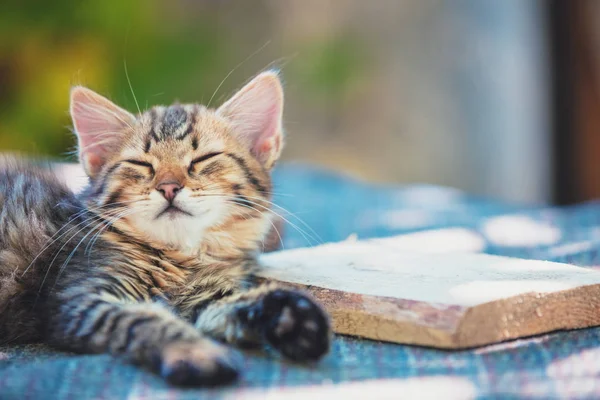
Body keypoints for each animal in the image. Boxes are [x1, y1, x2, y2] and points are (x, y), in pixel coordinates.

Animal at [0, 72, 330, 388]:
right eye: (141, 164)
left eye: (202, 160)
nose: (169, 187)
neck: (181, 256)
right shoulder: (81, 296)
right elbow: (143, 321)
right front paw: (197, 353)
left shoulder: (203, 296)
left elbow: (231, 304)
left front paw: (291, 318)